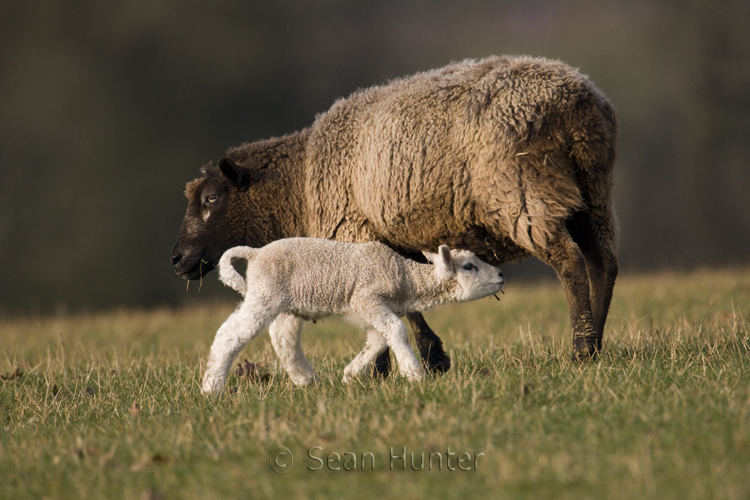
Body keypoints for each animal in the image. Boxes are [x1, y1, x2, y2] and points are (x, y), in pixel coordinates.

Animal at [201, 236, 506, 396]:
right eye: (469, 266)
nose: (501, 275)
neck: (406, 279)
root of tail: (255, 253)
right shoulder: (366, 298)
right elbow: (397, 331)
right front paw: (415, 374)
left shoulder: (372, 310)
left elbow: (379, 340)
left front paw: (349, 375)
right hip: (264, 295)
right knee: (229, 336)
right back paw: (211, 389)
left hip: (287, 302)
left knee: (283, 336)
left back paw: (306, 379)